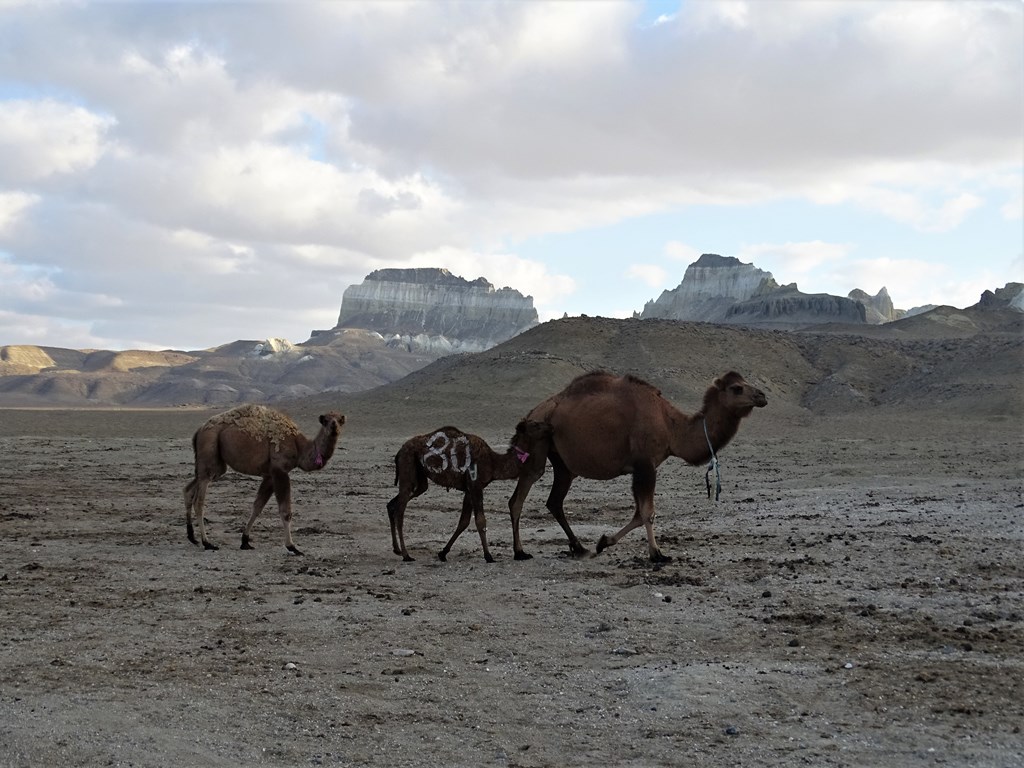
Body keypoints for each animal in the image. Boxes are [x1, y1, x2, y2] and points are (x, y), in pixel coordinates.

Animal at [183, 405, 344, 557]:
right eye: (326, 420)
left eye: (340, 419)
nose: (334, 426)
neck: (299, 447)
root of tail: (199, 431)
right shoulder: (280, 470)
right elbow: (286, 511)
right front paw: (292, 547)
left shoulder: (269, 475)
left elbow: (257, 507)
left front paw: (245, 541)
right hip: (209, 451)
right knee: (199, 501)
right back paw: (207, 543)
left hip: (215, 465)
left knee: (188, 490)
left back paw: (192, 537)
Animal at [387, 421, 552, 565]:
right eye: (536, 425)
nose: (549, 426)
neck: (494, 462)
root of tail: (399, 452)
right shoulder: (475, 485)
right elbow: (480, 520)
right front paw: (488, 556)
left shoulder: (469, 490)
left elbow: (464, 521)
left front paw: (443, 553)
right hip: (408, 466)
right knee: (400, 510)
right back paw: (406, 555)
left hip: (420, 479)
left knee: (393, 504)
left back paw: (397, 549)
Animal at [507, 370, 765, 561]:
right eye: (737, 388)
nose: (762, 396)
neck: (671, 426)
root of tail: (533, 412)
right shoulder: (646, 465)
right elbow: (647, 512)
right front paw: (657, 554)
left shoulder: (639, 469)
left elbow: (638, 513)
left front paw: (603, 542)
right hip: (537, 440)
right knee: (519, 496)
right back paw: (520, 552)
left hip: (563, 463)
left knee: (554, 501)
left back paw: (579, 548)